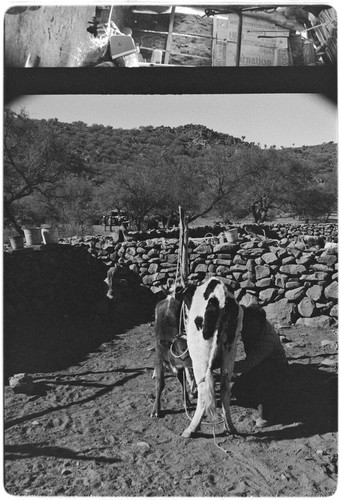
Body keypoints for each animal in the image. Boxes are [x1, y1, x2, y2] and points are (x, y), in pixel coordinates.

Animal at [181, 278, 242, 438]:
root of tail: (220, 293)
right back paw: (230, 427)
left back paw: (191, 429)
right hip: (230, 349)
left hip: (200, 355)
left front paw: (191, 390)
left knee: (204, 390)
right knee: (225, 387)